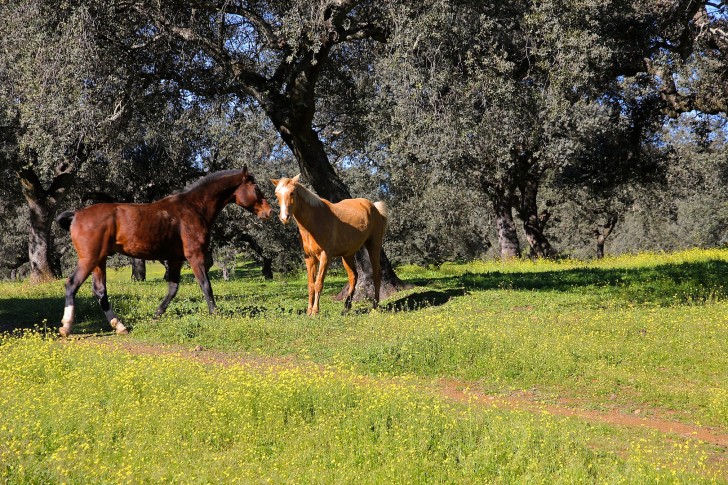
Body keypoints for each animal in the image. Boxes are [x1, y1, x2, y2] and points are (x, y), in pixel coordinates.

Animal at [54, 166, 270, 336]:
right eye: (256, 188)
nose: (268, 212)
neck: (194, 208)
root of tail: (76, 214)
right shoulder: (194, 256)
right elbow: (206, 285)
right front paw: (215, 314)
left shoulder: (175, 259)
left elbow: (173, 289)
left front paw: (155, 316)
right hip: (89, 259)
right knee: (72, 284)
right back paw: (66, 327)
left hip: (100, 261)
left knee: (100, 291)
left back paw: (120, 326)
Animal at [272, 174, 386, 314]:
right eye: (277, 195)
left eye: (292, 193)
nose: (284, 218)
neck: (314, 221)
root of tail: (373, 207)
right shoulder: (309, 258)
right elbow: (311, 285)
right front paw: (308, 311)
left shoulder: (325, 256)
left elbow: (318, 283)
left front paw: (315, 311)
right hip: (347, 255)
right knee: (353, 276)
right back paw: (347, 306)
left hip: (374, 246)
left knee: (376, 274)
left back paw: (375, 305)